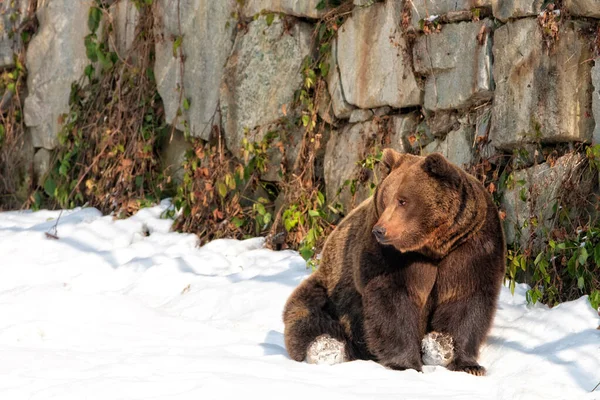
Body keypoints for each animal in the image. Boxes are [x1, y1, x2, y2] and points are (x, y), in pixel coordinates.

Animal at [282, 149, 506, 376]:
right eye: (386, 198)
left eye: (403, 200)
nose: (380, 230)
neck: (432, 246)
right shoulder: (391, 256)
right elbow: (393, 300)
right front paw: (406, 363)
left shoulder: (471, 244)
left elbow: (465, 298)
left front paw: (463, 361)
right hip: (331, 288)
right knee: (308, 311)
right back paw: (325, 347)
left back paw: (436, 345)